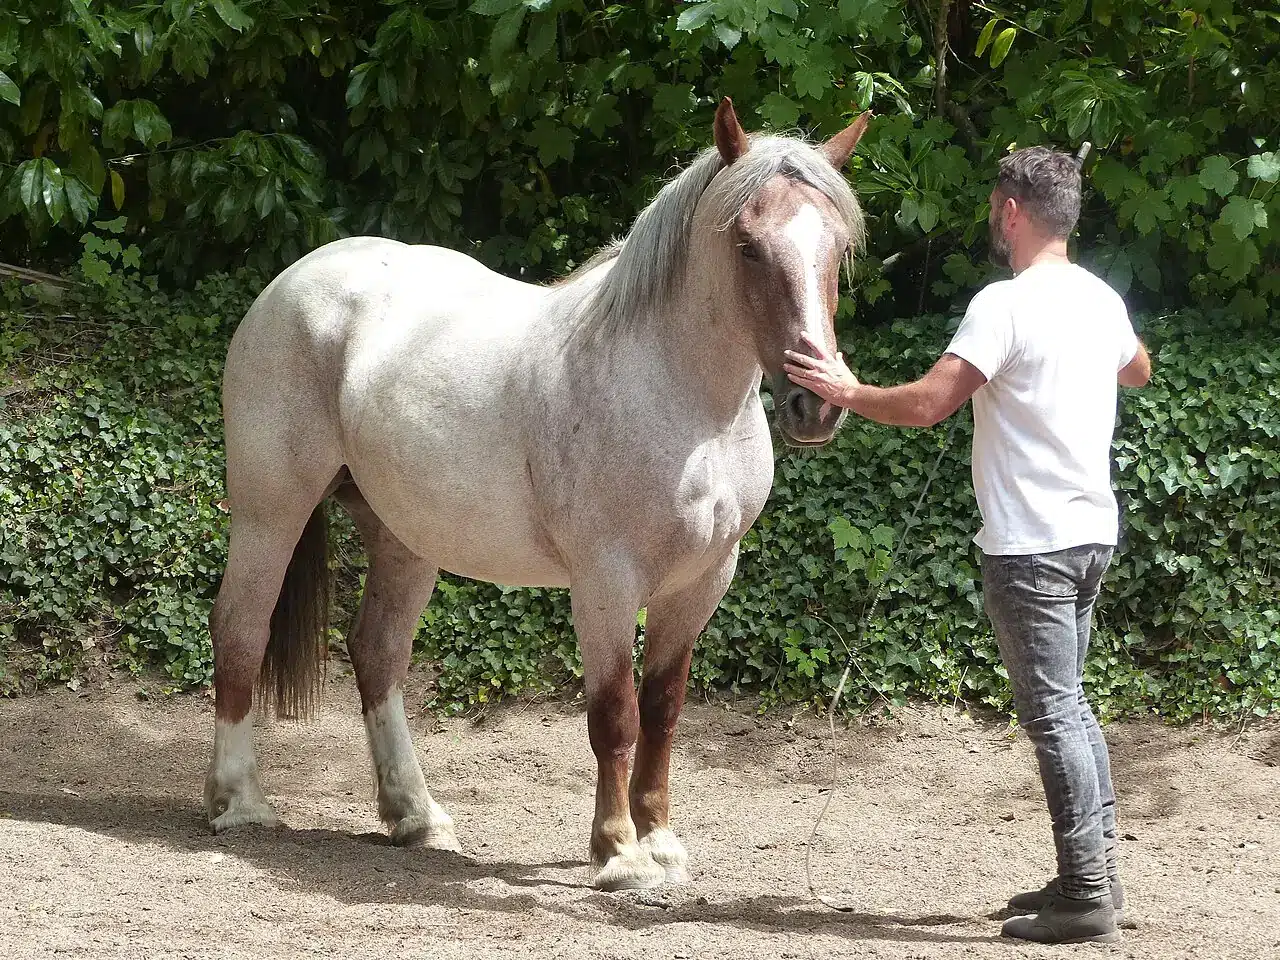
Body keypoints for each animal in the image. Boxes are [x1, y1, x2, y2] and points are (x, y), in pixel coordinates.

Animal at [204, 97, 870, 891]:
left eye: (837, 247)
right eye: (746, 246)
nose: (815, 403)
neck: (678, 397)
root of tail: (292, 283)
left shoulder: (702, 581)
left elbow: (664, 709)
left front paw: (660, 840)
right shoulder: (606, 581)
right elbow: (614, 715)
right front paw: (618, 853)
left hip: (404, 536)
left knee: (377, 655)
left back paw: (415, 816)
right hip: (271, 513)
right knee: (240, 631)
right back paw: (239, 803)